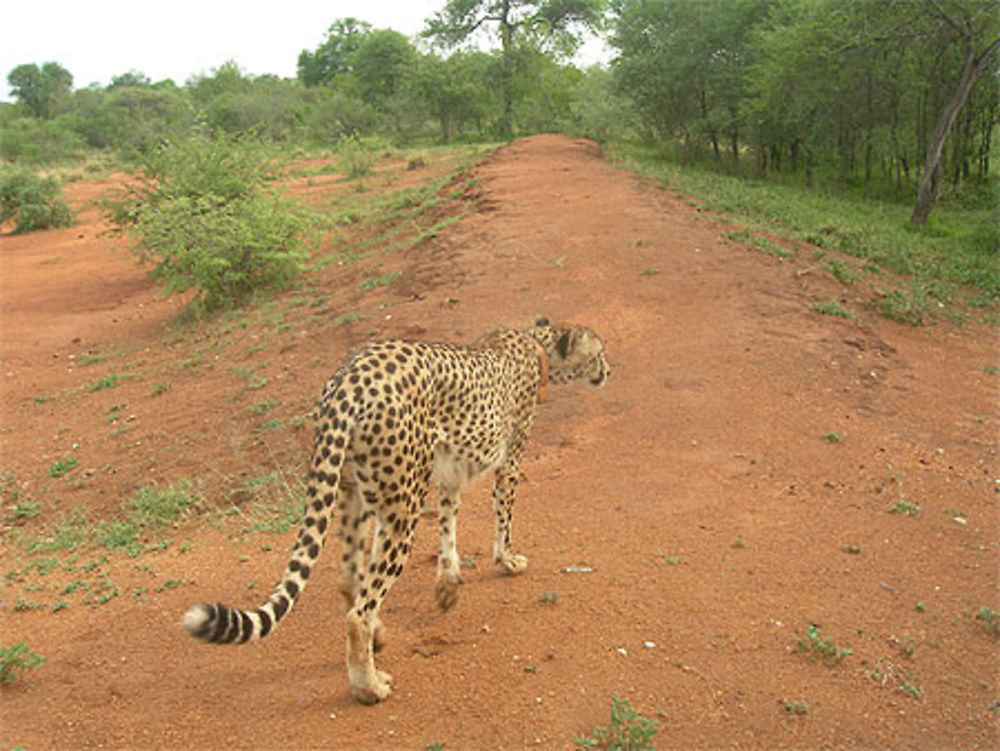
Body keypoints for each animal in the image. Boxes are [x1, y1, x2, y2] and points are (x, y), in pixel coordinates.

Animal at [186, 318, 608, 704]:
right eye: (599, 353)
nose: (609, 370)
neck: (538, 344)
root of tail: (349, 379)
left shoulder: (448, 469)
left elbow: (448, 521)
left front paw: (448, 584)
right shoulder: (509, 463)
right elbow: (503, 517)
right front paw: (506, 560)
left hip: (357, 494)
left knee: (349, 580)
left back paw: (378, 638)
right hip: (402, 506)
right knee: (359, 610)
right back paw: (368, 685)